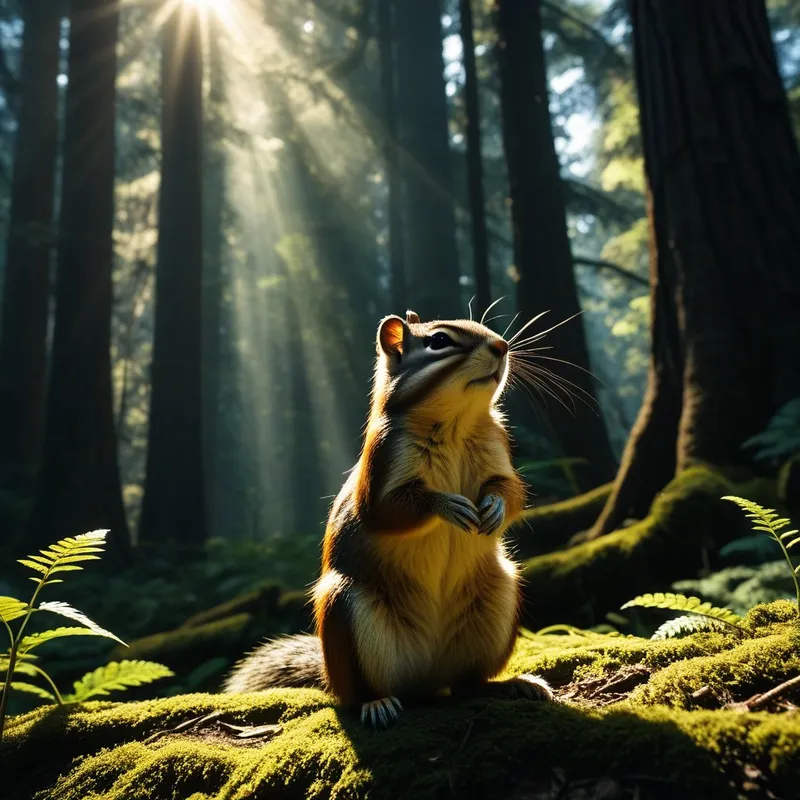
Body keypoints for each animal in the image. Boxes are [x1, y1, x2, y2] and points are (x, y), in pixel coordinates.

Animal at [222, 310, 553, 727]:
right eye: (439, 341)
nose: (502, 345)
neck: (456, 421)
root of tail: (427, 679)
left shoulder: (498, 448)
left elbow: (511, 492)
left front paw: (492, 506)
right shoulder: (383, 459)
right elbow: (388, 510)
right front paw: (447, 505)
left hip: (501, 598)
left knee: (467, 685)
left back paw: (511, 685)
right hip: (346, 611)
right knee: (360, 694)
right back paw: (377, 704)